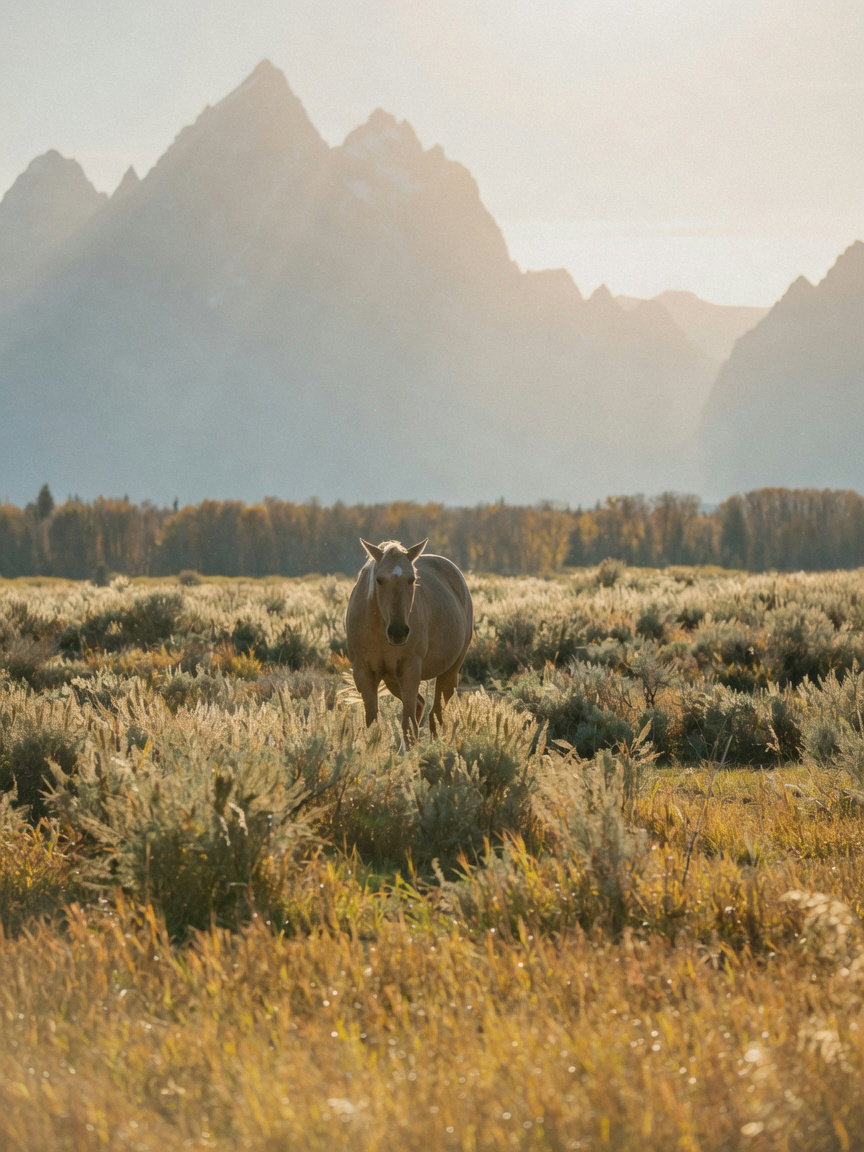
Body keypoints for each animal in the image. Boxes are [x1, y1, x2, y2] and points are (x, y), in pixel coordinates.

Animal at [345, 537, 473, 745]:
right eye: (379, 580)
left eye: (412, 579)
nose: (398, 631)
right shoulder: (364, 673)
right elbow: (372, 723)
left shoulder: (410, 670)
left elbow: (407, 723)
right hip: (392, 679)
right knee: (421, 705)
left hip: (449, 672)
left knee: (435, 714)